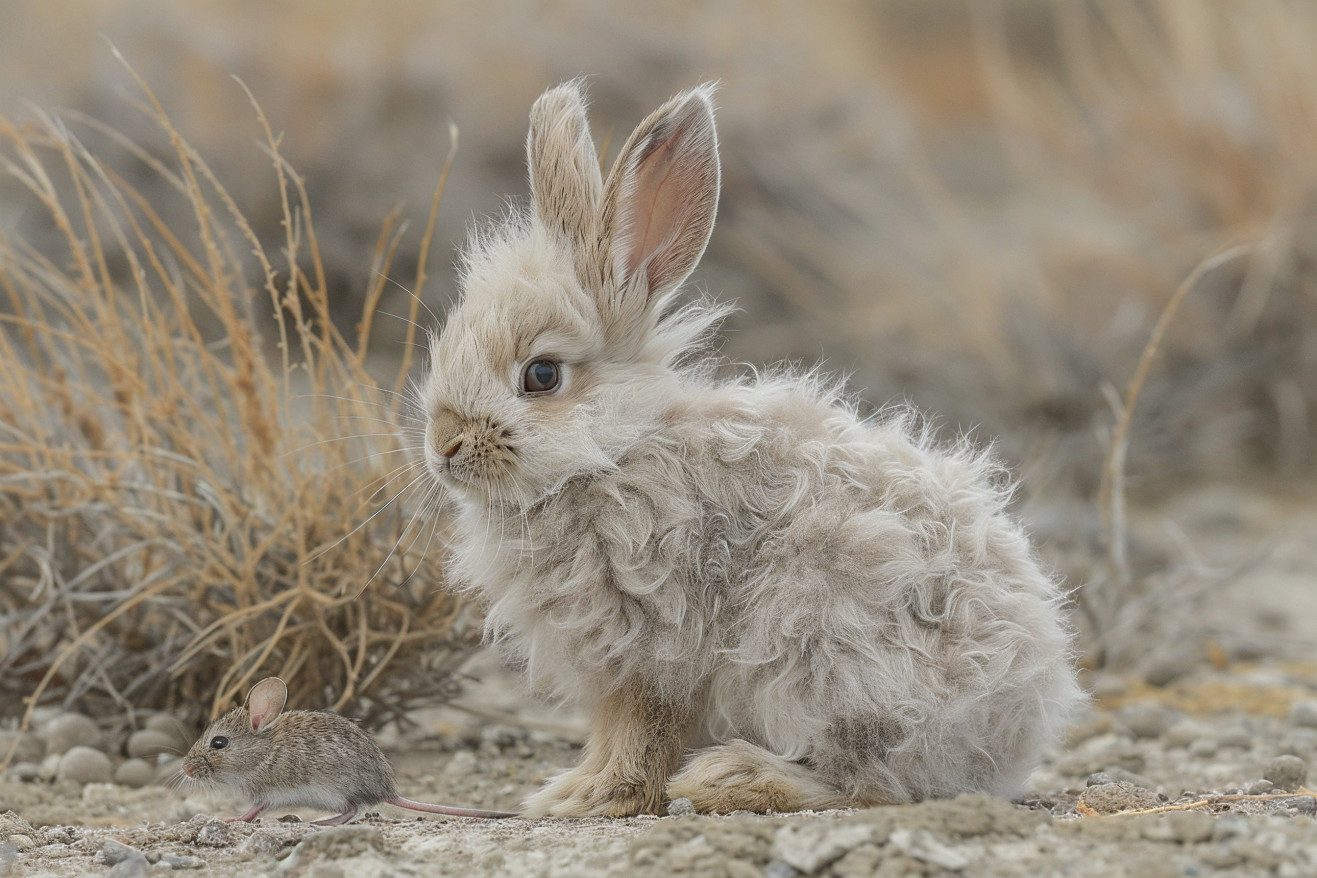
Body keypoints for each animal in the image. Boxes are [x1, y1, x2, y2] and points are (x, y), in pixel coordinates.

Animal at [179, 679, 513, 826]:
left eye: (219, 743)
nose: (185, 769)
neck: (263, 751)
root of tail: (388, 791)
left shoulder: (265, 794)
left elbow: (250, 812)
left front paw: (227, 818)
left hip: (333, 790)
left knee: (353, 810)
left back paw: (320, 823)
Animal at [418, 80, 1079, 816]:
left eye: (541, 376)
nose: (443, 445)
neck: (609, 455)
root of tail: (1010, 733)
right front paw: (579, 788)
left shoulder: (651, 646)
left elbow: (640, 733)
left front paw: (589, 797)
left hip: (823, 657)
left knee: (871, 784)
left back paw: (732, 777)